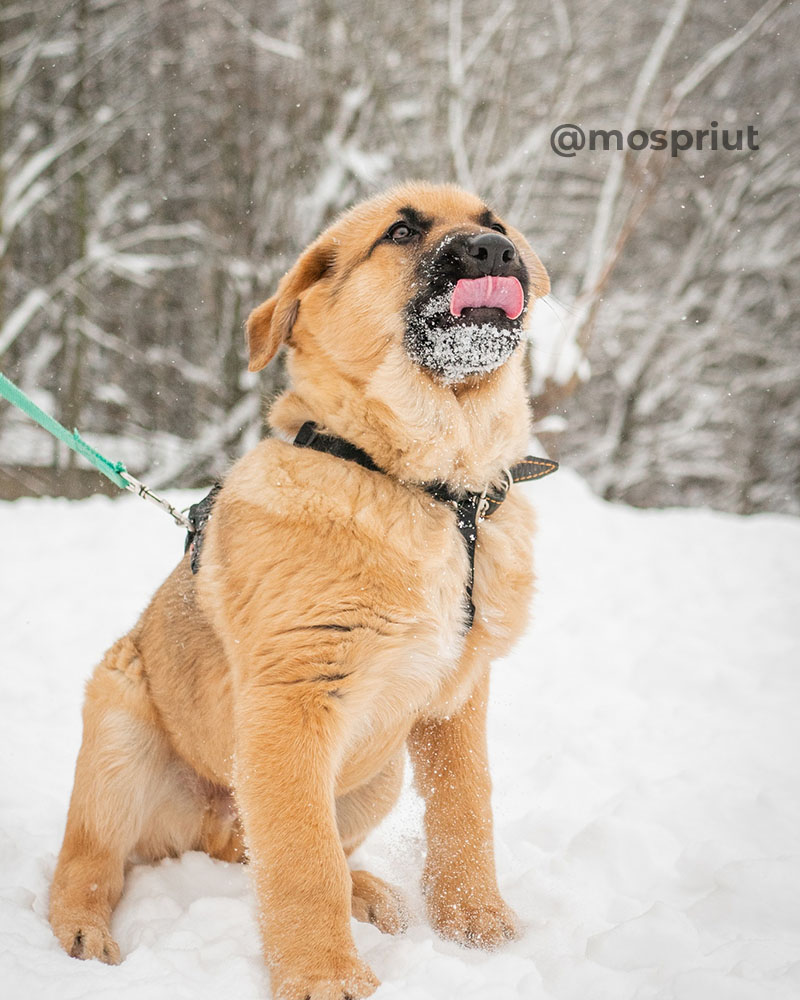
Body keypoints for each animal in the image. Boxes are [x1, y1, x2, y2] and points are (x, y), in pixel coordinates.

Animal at [48, 182, 552, 1000]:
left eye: (497, 223)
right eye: (401, 231)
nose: (491, 252)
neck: (426, 485)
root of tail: (210, 825)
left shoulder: (455, 699)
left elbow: (465, 810)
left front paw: (475, 924)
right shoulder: (295, 704)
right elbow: (302, 859)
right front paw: (324, 974)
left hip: (377, 773)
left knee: (273, 854)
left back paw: (368, 891)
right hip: (119, 736)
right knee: (90, 861)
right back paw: (83, 932)